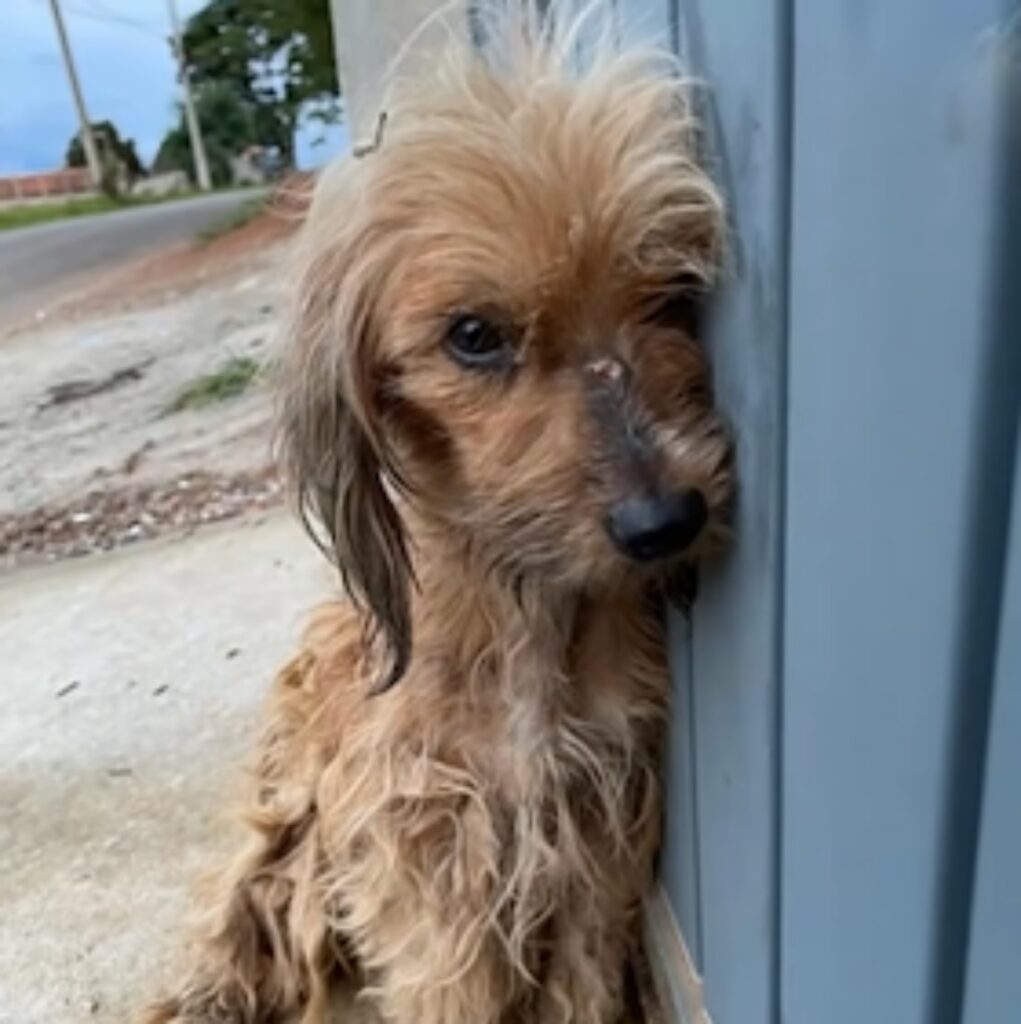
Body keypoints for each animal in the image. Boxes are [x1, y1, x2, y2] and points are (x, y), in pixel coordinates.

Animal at [145, 2, 733, 1024]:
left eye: (668, 293)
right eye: (473, 335)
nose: (667, 522)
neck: (524, 617)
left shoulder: (593, 850)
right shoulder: (428, 867)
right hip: (286, 811)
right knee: (244, 906)